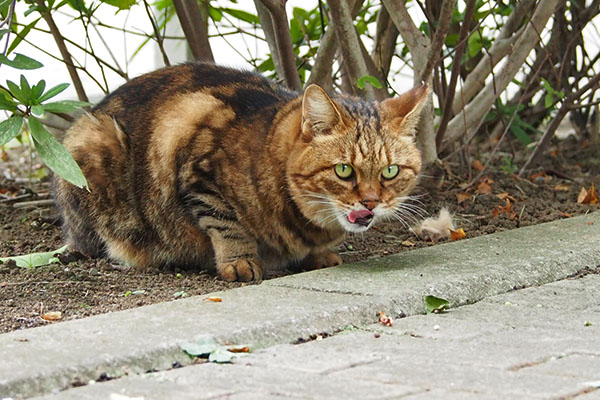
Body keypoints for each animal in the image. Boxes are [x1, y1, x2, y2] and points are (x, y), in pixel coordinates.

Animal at [52, 62, 426, 282]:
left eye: (390, 171)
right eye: (344, 170)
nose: (371, 202)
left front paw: (318, 256)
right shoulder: (195, 160)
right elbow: (226, 222)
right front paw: (240, 261)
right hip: (91, 145)